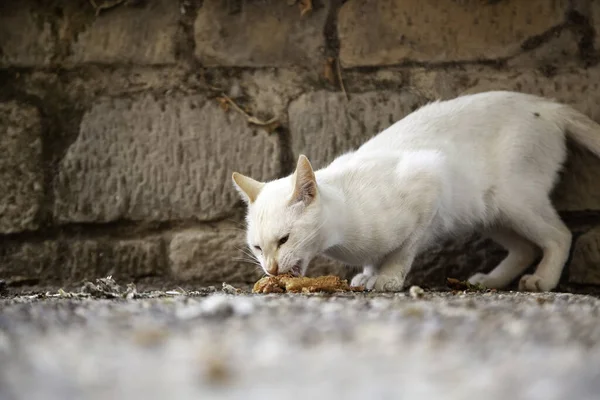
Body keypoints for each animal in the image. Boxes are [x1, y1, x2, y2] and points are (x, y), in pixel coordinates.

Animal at [232, 90, 600, 290]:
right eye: (257, 247)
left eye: (284, 240)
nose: (271, 270)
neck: (343, 235)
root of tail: (547, 105)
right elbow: (375, 257)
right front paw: (369, 275)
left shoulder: (430, 182)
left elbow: (403, 250)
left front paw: (388, 278)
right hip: (487, 212)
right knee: (524, 248)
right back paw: (490, 281)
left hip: (513, 198)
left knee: (559, 235)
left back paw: (543, 280)